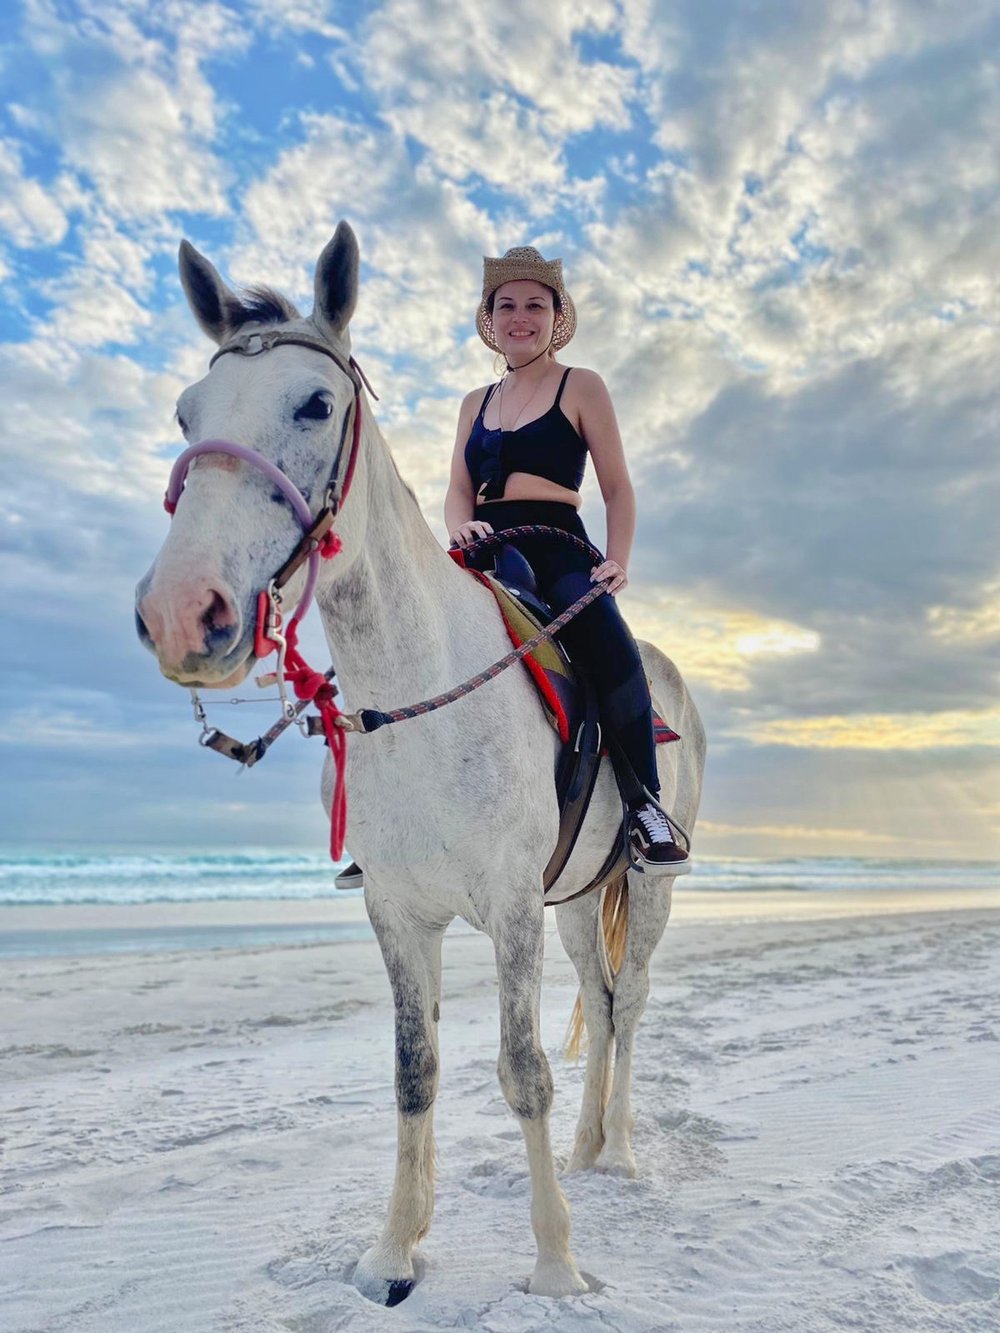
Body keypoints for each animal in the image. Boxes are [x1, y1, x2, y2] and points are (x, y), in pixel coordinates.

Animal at [137, 223, 709, 1306]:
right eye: (187, 413)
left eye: (315, 404)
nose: (184, 612)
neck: (418, 693)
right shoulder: (400, 912)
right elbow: (416, 1069)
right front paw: (394, 1251)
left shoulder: (512, 909)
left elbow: (522, 1068)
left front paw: (555, 1263)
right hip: (581, 900)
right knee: (603, 998)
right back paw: (586, 1149)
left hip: (644, 889)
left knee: (633, 999)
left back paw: (615, 1153)